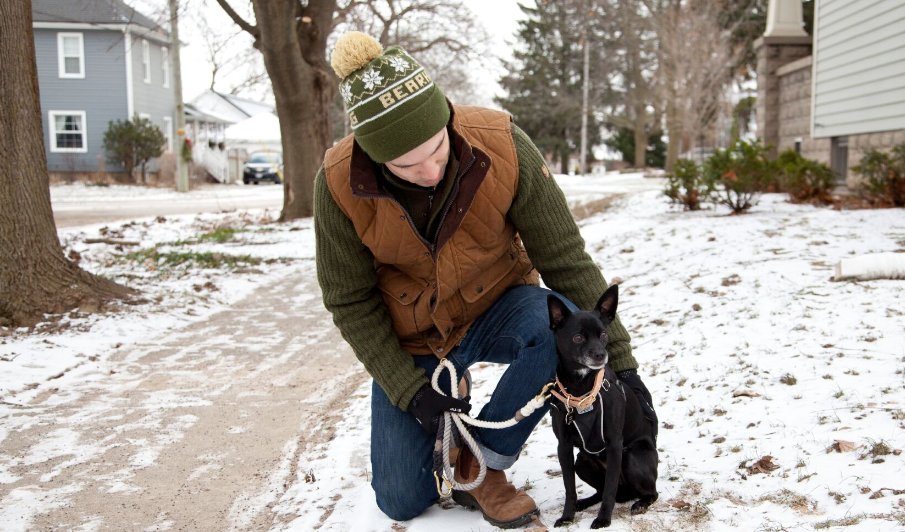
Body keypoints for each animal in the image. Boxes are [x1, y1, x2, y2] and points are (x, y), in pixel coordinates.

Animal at [544, 284, 656, 524]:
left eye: (603, 334)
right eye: (577, 337)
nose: (600, 354)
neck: (580, 390)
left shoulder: (614, 445)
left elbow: (610, 489)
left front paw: (603, 520)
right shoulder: (564, 447)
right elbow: (569, 488)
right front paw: (567, 516)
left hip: (631, 456)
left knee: (648, 491)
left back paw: (641, 503)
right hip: (582, 461)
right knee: (601, 490)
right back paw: (584, 503)